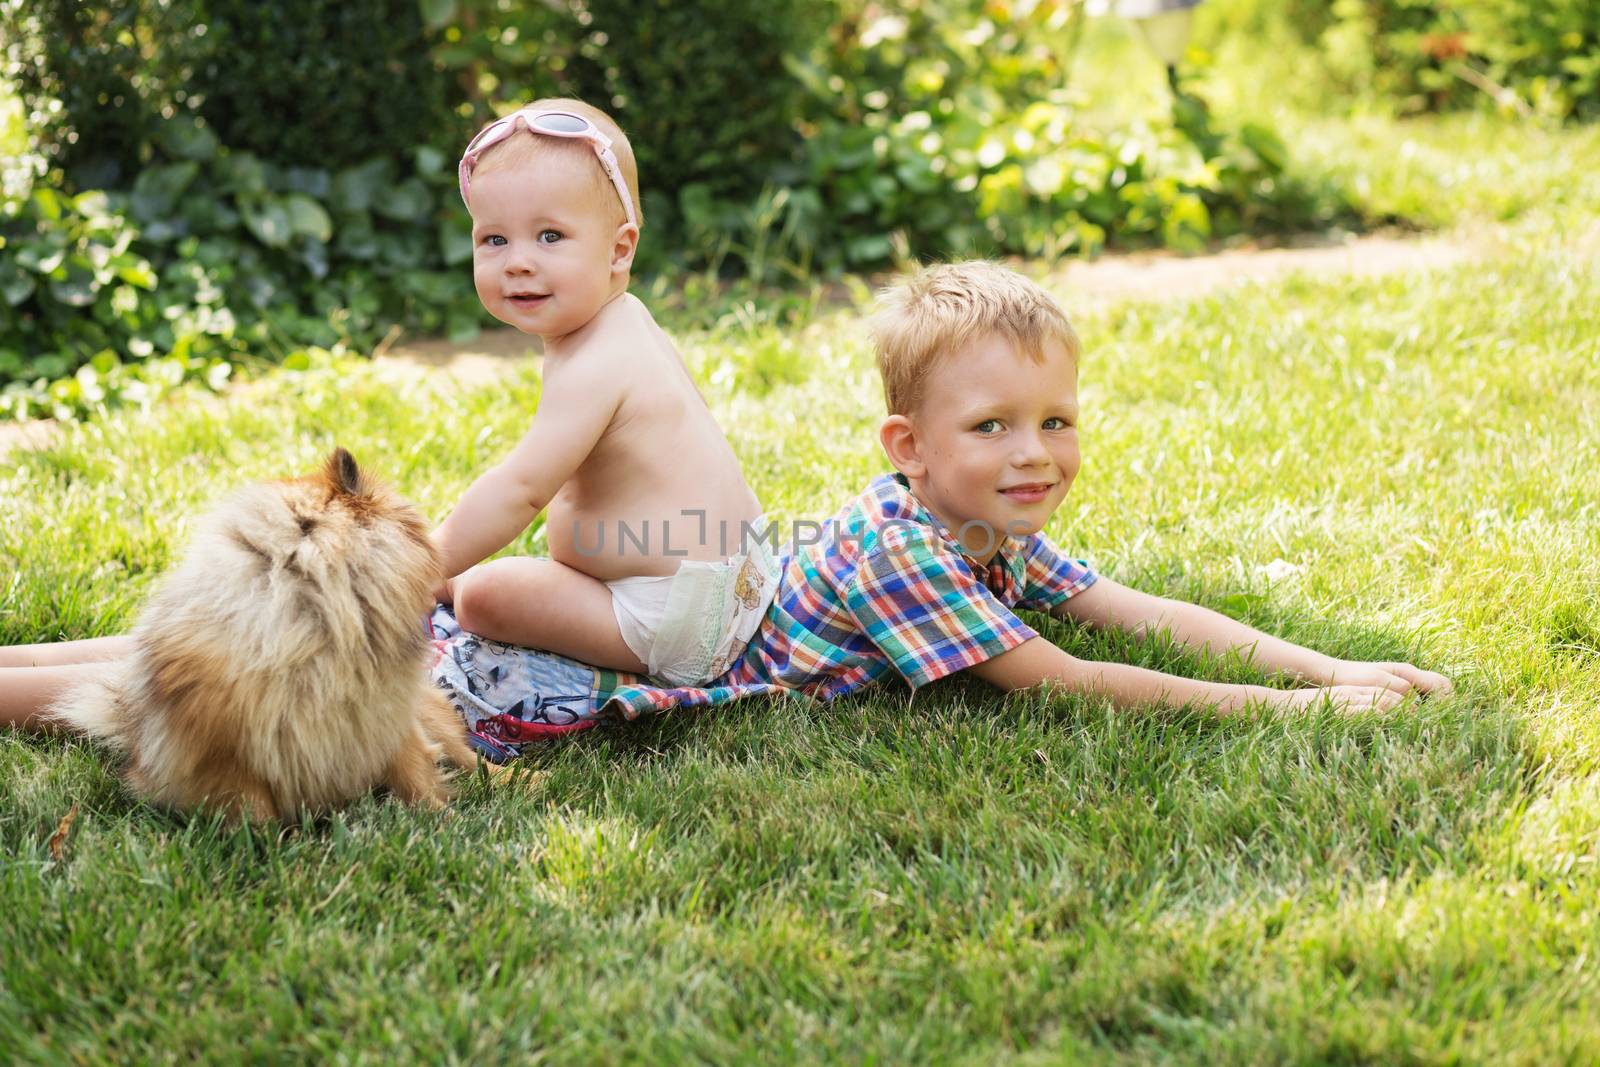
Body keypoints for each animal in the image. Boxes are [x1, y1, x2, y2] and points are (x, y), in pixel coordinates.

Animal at [48, 447, 473, 825]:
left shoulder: (391, 722)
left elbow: (416, 776)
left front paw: (443, 818)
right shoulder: (230, 760)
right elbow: (257, 814)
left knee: (466, 754)